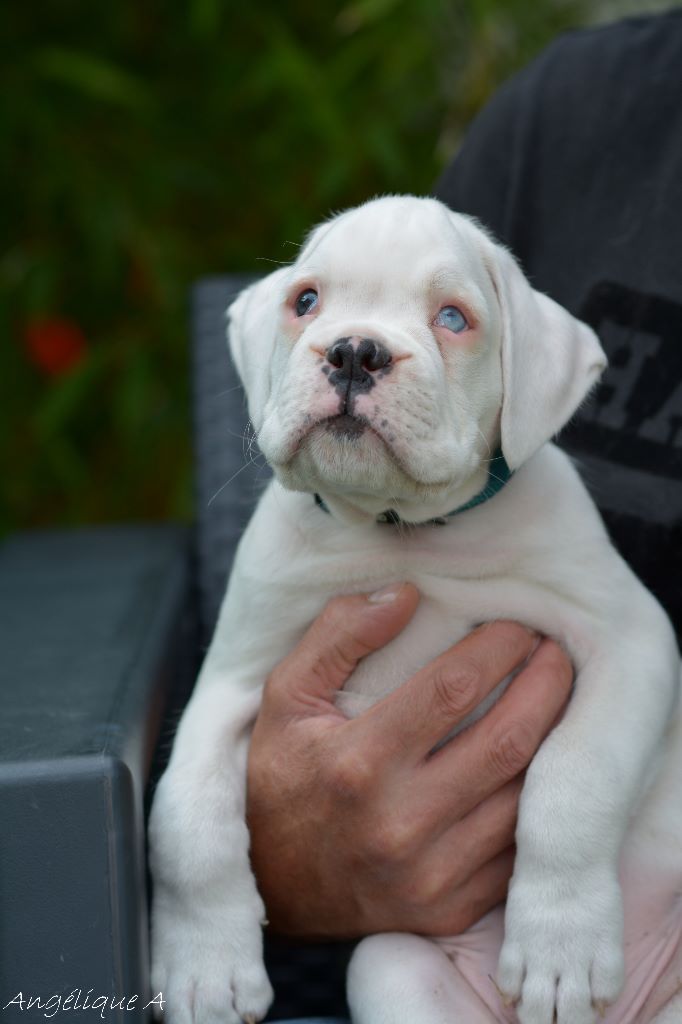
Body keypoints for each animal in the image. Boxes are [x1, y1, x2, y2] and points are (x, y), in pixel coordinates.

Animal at [148, 195, 679, 1024]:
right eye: (306, 301)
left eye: (454, 318)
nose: (354, 352)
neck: (403, 530)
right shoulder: (232, 682)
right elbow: (185, 817)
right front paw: (205, 971)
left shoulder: (630, 643)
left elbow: (573, 777)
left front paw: (559, 949)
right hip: (390, 967)